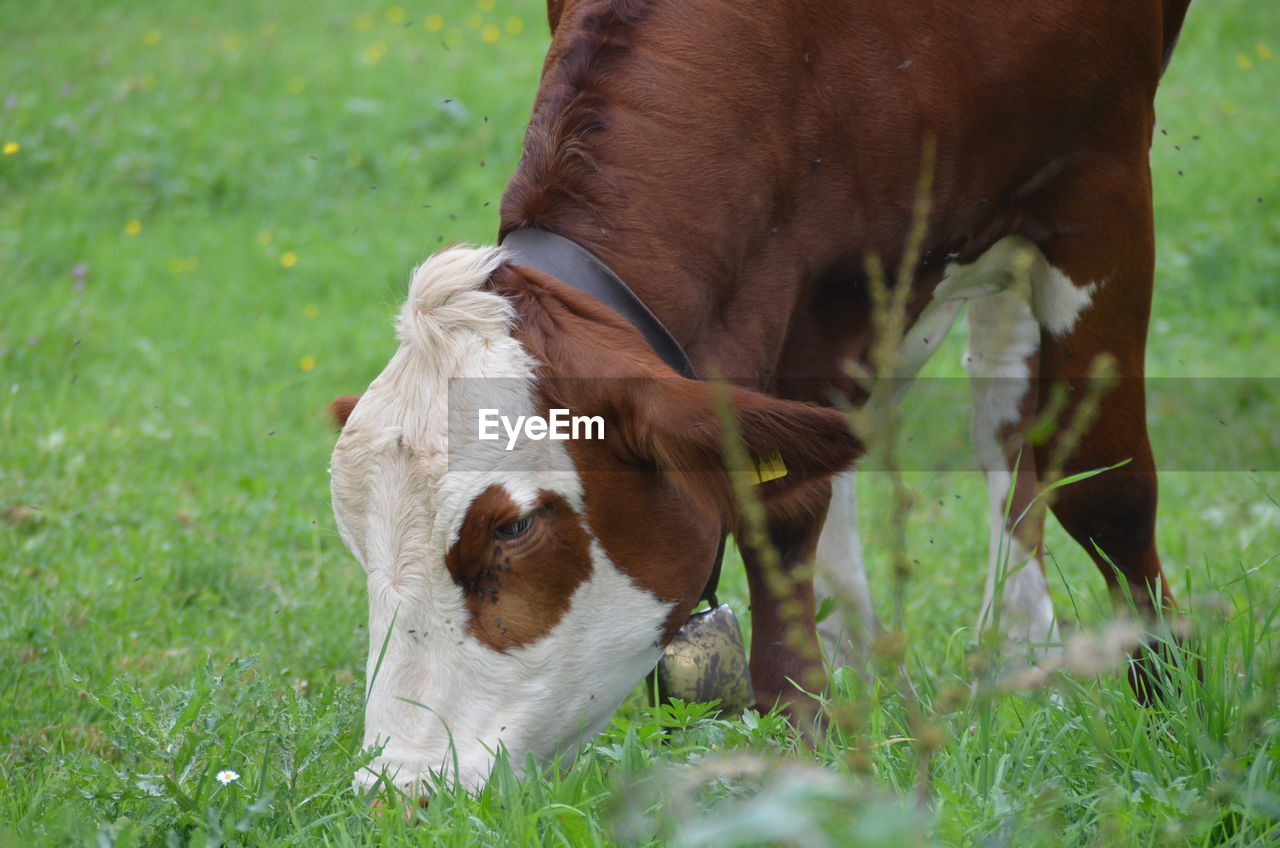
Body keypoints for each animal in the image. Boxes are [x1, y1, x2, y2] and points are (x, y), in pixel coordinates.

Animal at [327, 0, 1187, 799]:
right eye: (356, 540)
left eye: (513, 528)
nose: (402, 792)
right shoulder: (803, 275)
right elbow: (784, 506)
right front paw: (808, 720)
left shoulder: (1102, 180)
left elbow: (1109, 489)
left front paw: (1168, 694)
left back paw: (1019, 643)